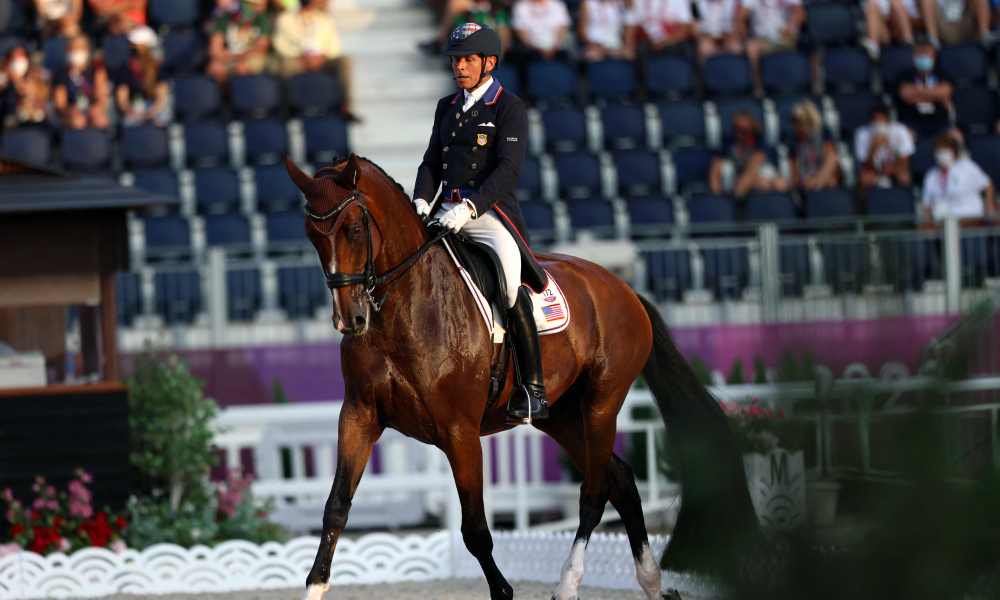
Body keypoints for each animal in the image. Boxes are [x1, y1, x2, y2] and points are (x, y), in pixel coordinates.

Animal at [284, 154, 760, 600]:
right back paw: (651, 582)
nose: (350, 320)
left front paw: (504, 591)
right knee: (620, 480)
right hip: (561, 415)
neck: (405, 307)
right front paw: (315, 586)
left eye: (354, 228)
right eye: (311, 235)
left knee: (593, 491)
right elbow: (336, 507)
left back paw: (569, 583)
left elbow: (476, 529)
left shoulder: (459, 431)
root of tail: (624, 290)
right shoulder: (359, 416)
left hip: (601, 403)